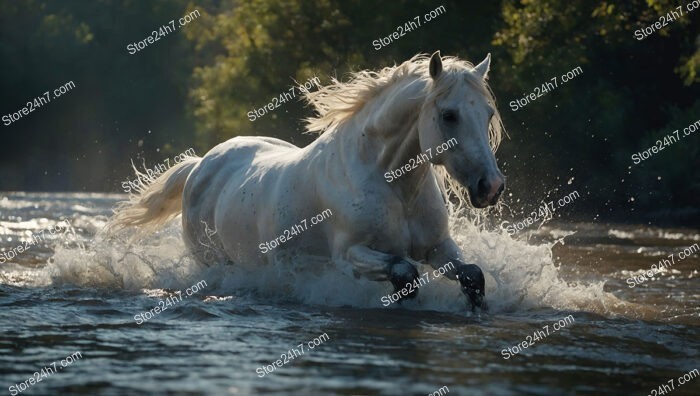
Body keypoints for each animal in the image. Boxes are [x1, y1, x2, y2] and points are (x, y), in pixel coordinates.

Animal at [108, 51, 504, 310]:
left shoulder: (438, 247)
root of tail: (200, 165)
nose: (491, 187)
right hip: (215, 263)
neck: (391, 183)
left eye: (487, 114)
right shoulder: (350, 254)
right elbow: (405, 274)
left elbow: (473, 276)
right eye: (449, 115)